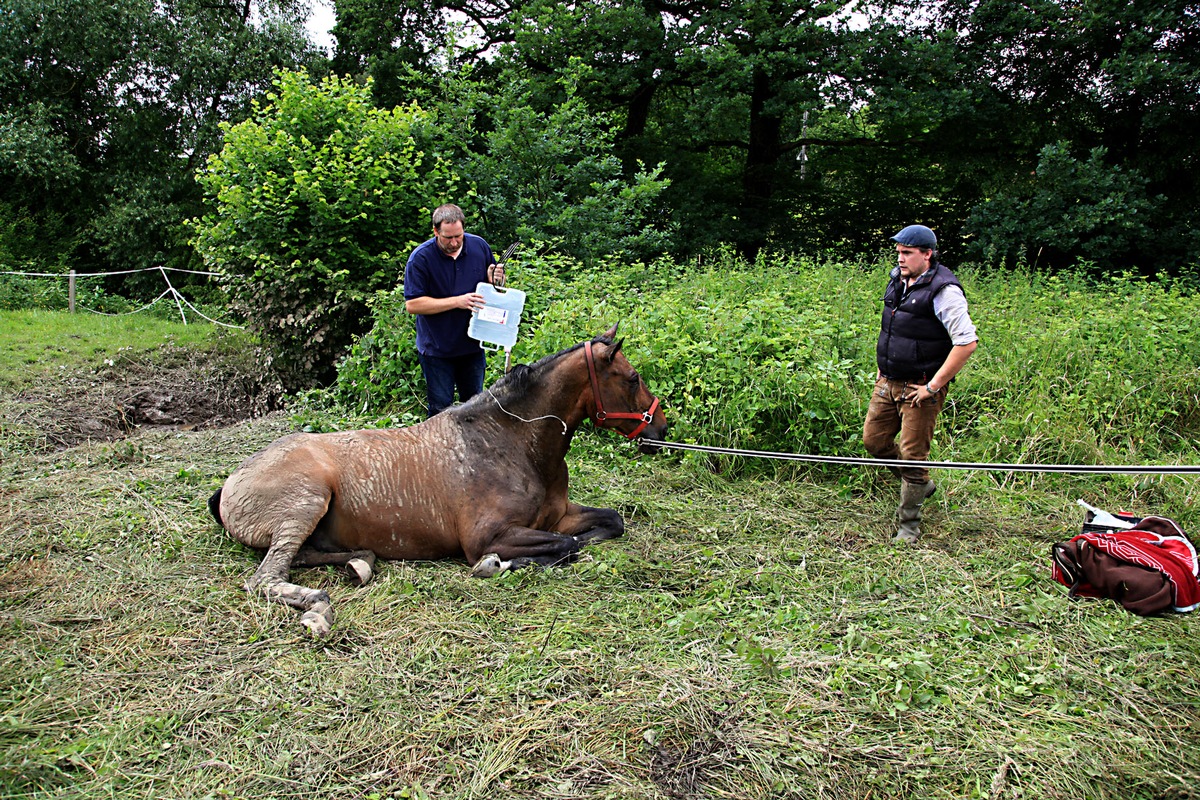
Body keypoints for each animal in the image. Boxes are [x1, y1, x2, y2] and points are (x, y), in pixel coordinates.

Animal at [206, 321, 667, 633]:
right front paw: (496, 565)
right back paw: (318, 608)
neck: (508, 441)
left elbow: (608, 524)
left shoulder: (560, 515)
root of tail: (229, 483)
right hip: (306, 502)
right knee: (266, 577)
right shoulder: (489, 536)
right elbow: (564, 546)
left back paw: (359, 564)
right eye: (632, 379)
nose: (662, 430)